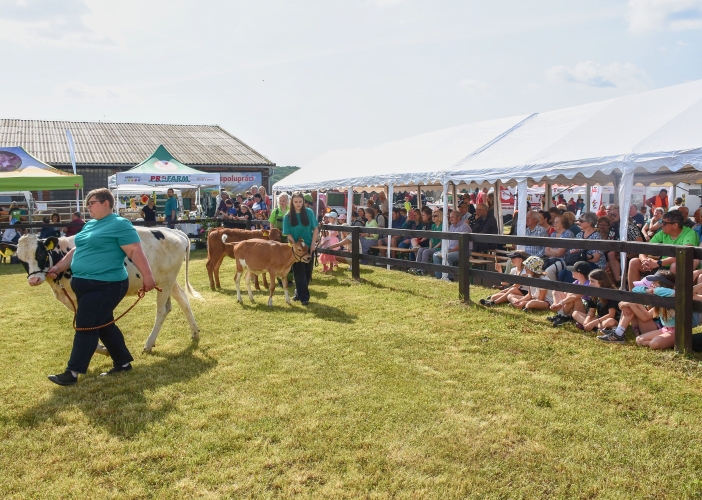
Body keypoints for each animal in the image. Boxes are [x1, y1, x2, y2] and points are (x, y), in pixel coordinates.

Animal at [2, 227, 205, 352]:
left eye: (41, 253)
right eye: (21, 259)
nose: (34, 279)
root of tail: (173, 231)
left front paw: (102, 349)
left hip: (166, 281)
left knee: (163, 310)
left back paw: (149, 343)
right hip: (167, 281)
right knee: (183, 300)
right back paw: (195, 333)